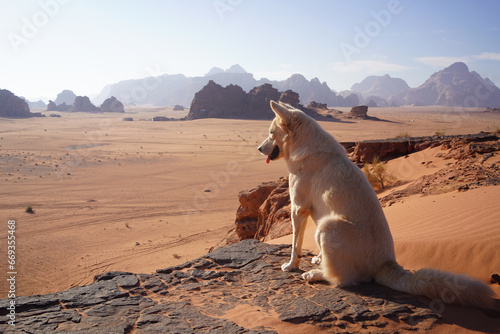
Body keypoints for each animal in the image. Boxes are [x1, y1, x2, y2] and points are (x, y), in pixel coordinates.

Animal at [260, 100, 494, 310]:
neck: (303, 144)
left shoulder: (298, 209)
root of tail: (385, 265)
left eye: (271, 133)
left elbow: (295, 245)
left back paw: (315, 274)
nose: (260, 148)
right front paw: (317, 258)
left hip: (327, 226)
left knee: (346, 280)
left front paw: (292, 266)